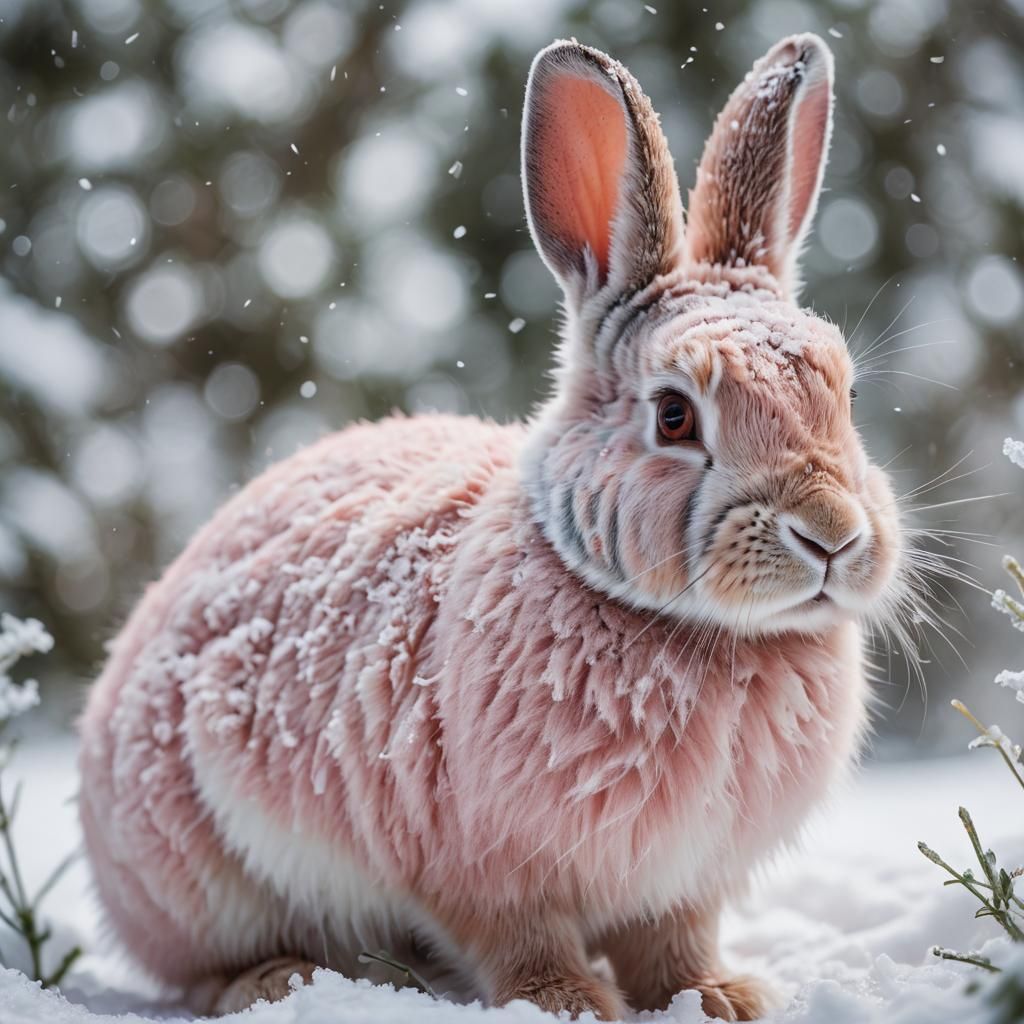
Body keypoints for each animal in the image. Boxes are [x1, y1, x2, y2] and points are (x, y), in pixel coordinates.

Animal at [78, 33, 904, 1023]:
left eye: (845, 397)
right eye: (674, 416)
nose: (831, 534)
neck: (690, 629)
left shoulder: (682, 882)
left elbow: (675, 943)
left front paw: (720, 997)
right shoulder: (480, 865)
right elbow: (518, 939)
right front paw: (572, 1001)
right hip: (201, 876)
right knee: (198, 969)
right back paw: (278, 981)